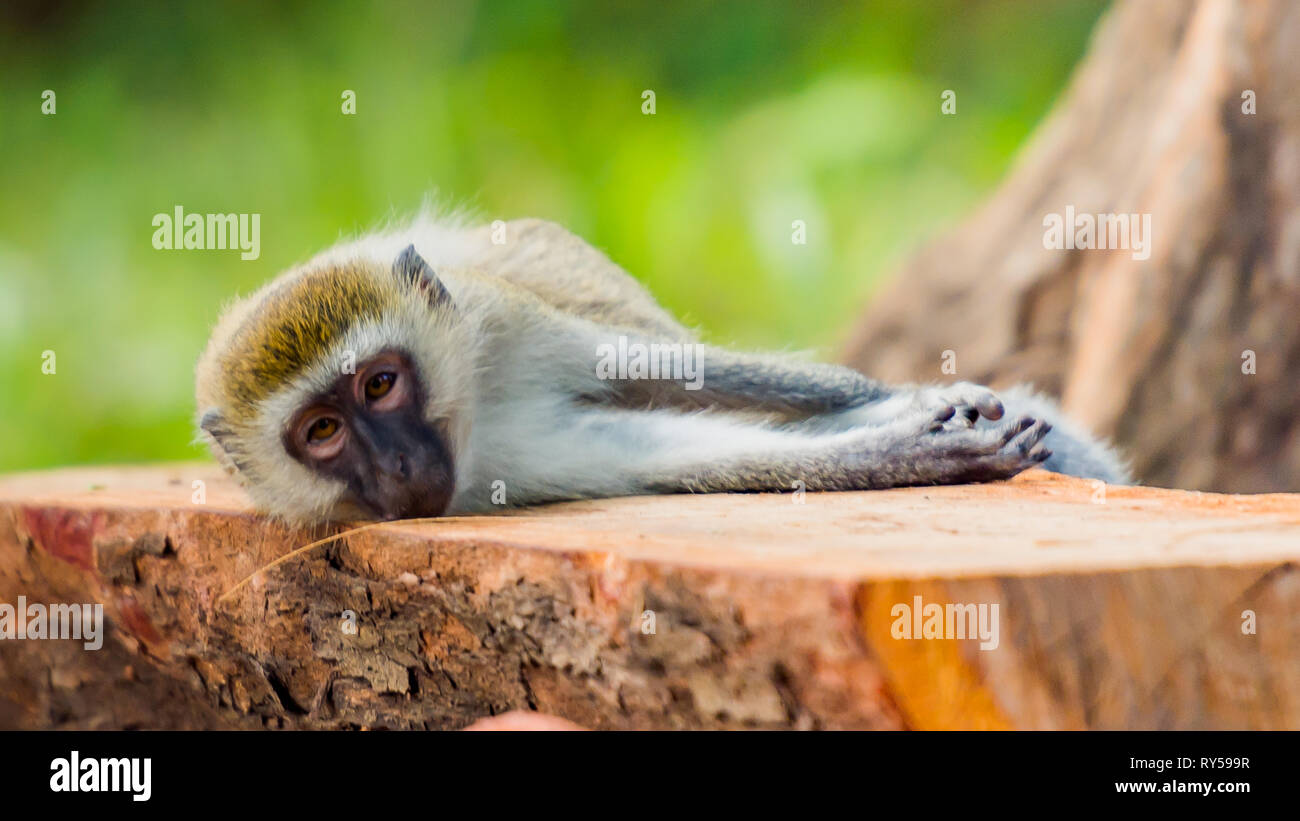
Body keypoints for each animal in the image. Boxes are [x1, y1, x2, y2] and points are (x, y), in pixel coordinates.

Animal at [195, 214, 1128, 522]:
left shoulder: (503, 317)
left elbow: (682, 370)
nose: (393, 463)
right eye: (322, 431)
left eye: (380, 384)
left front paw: (919, 399)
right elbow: (672, 450)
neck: (474, 418)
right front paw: (905, 447)